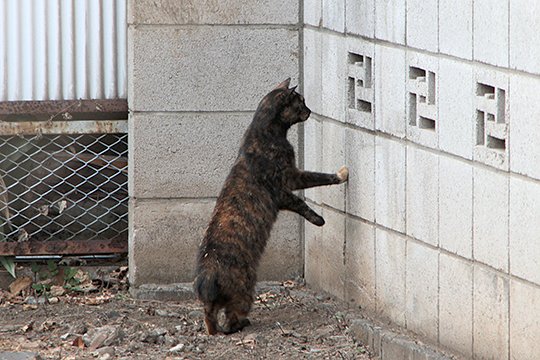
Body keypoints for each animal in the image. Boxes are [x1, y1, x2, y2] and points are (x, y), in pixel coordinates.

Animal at [192, 78, 348, 334]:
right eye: (301, 101)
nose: (310, 110)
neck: (264, 133)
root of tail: (206, 279)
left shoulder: (289, 182)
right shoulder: (285, 186)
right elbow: (310, 188)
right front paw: (324, 209)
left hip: (214, 306)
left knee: (210, 320)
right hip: (245, 289)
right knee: (231, 318)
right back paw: (242, 323)